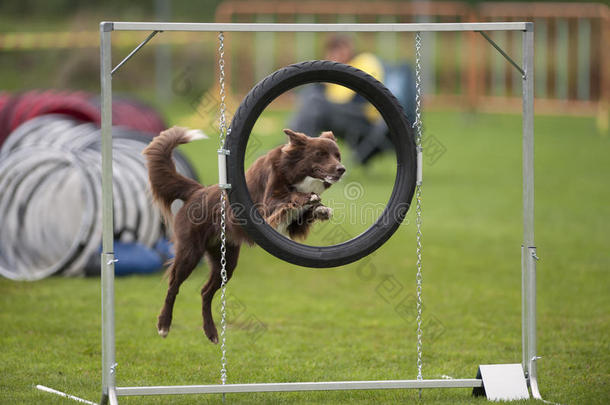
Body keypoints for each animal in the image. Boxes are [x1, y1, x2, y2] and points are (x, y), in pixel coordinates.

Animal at [141, 126, 344, 340]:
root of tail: (198, 191)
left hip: (226, 261)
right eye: (320, 154)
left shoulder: (295, 224)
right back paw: (164, 325)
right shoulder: (267, 203)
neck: (296, 173)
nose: (342, 169)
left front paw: (321, 209)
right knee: (173, 285)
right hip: (190, 252)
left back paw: (211, 332)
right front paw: (307, 197)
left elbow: (306, 212)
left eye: (337, 155)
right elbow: (290, 197)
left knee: (205, 292)